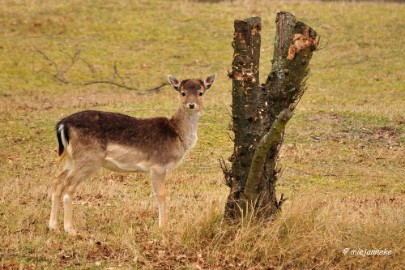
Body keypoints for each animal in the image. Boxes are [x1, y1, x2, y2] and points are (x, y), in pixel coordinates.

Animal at [48, 73, 215, 234]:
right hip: (89, 158)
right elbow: (161, 194)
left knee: (57, 181)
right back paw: (69, 229)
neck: (177, 135)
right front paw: (163, 227)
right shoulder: (158, 165)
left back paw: (53, 226)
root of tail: (63, 124)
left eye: (201, 92)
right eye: (183, 92)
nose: (191, 105)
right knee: (69, 185)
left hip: (71, 158)